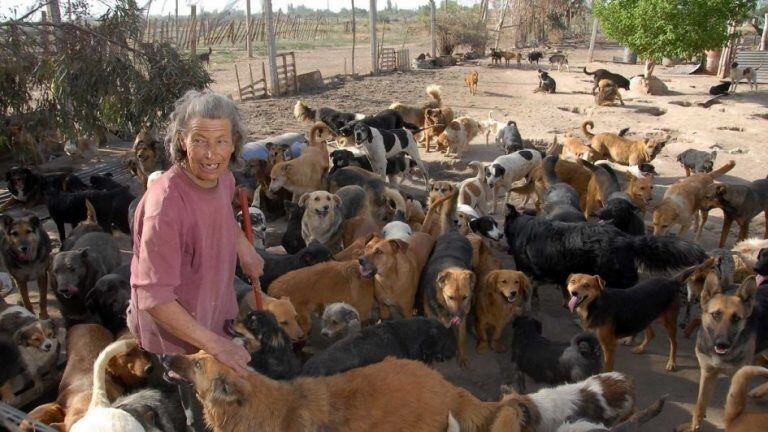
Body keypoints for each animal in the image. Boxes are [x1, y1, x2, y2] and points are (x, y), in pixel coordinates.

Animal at [680, 274, 768, 432]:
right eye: (716, 315)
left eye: (736, 318)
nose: (722, 344)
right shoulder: (708, 373)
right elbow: (699, 405)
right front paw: (693, 426)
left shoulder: (738, 376)